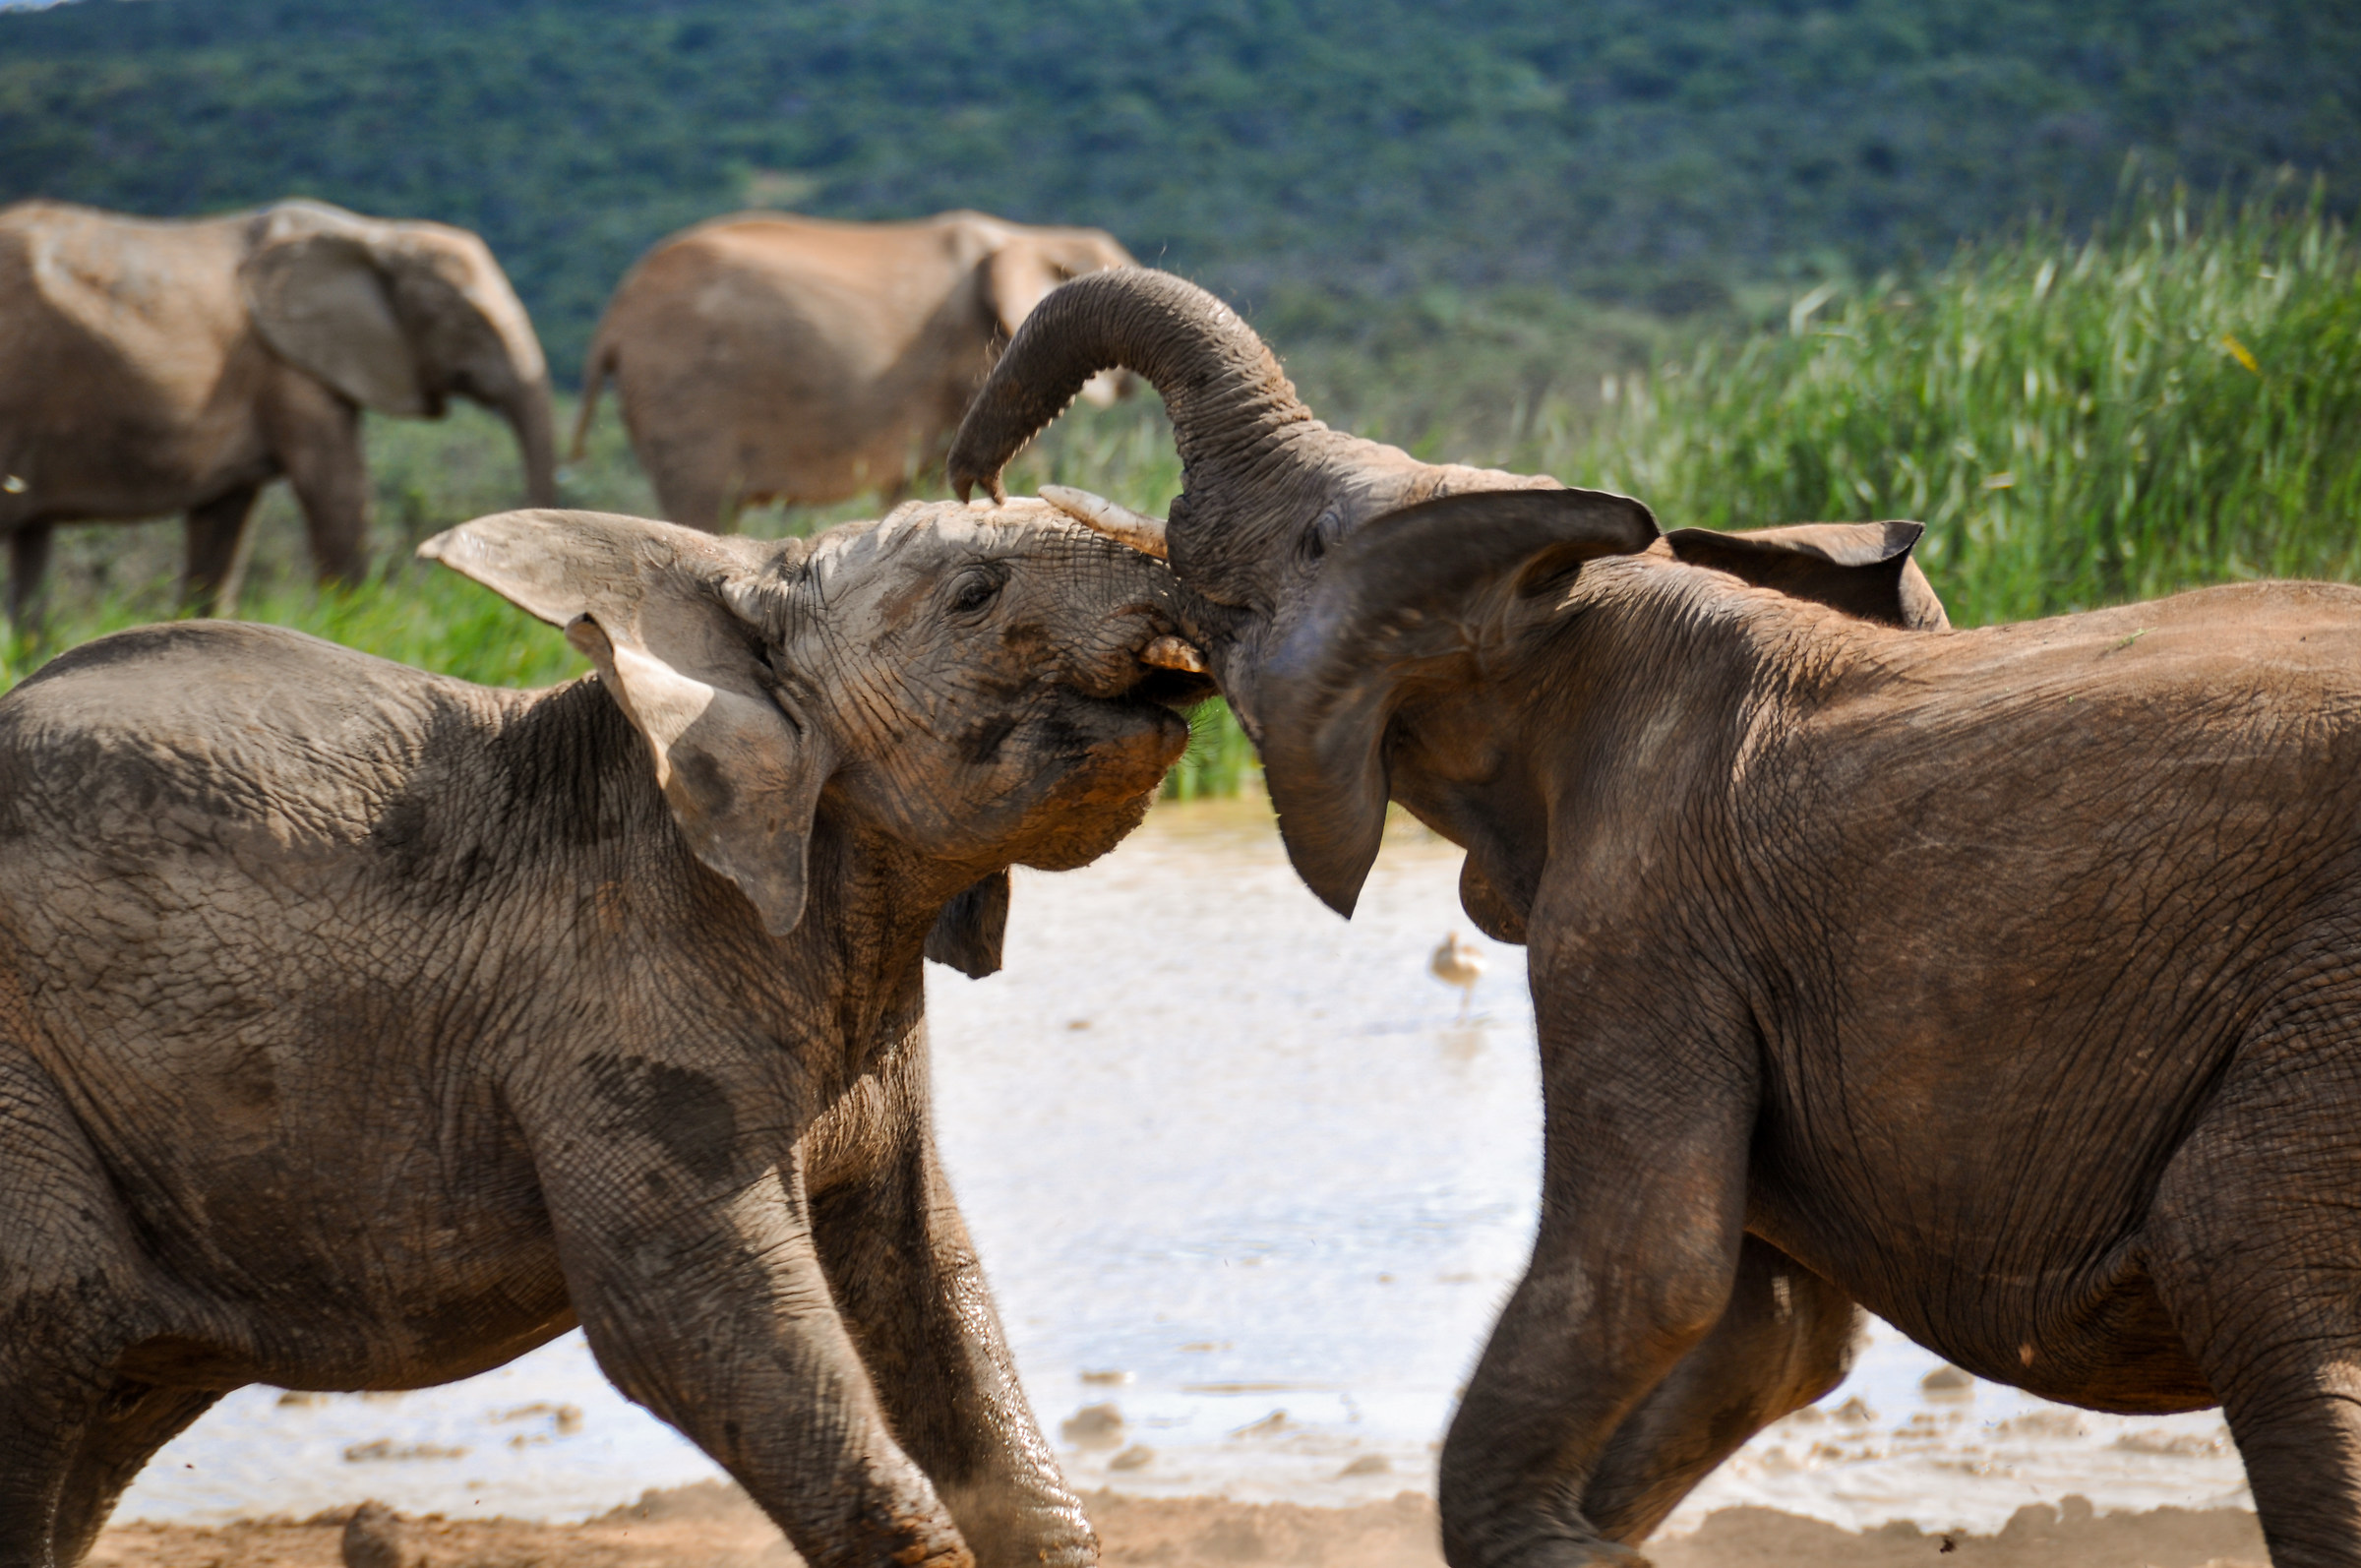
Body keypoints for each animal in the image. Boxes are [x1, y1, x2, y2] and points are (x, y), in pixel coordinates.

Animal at [0, 198, 557, 624]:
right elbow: (335, 489)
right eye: (463, 320)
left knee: (32, 540)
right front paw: (351, 626)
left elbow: (222, 519)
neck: (372, 233)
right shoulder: (289, 366)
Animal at [951, 267, 2361, 1567]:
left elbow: (1648, 1270)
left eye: (1315, 539)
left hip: (2318, 1030)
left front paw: (1559, 1546)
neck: (1590, 598)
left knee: (2242, 1255)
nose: (972, 480)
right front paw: (1596, 1537)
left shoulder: (1645, 914)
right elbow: (1770, 1331)